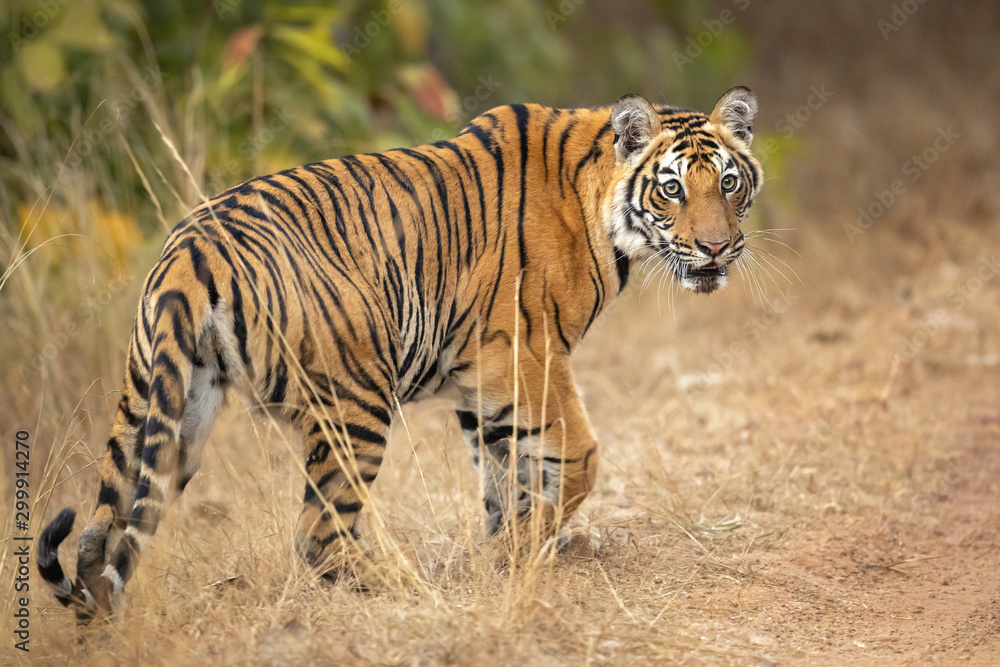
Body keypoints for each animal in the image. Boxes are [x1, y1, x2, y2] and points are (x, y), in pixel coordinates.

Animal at [37, 87, 756, 620]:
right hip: (355, 402)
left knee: (104, 533)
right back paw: (401, 587)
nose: (717, 247)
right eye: (671, 189)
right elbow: (577, 455)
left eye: (728, 182)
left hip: (163, 411)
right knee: (318, 534)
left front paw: (508, 552)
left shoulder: (481, 381)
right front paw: (525, 547)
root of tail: (189, 250)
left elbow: (504, 474)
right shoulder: (526, 354)